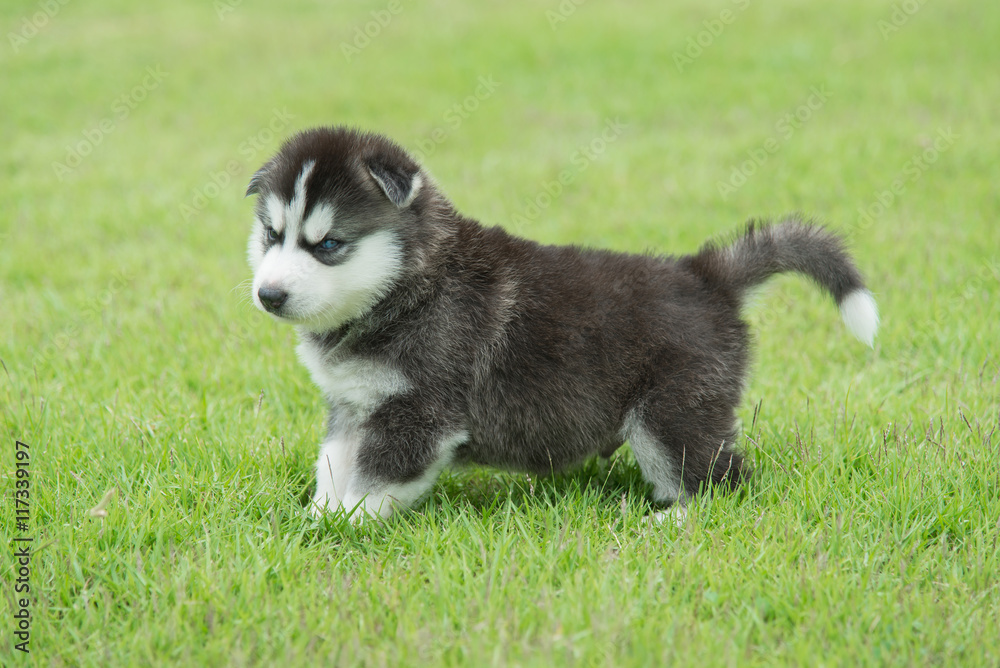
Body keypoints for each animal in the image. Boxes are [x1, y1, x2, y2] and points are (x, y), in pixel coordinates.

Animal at [244, 125, 876, 520]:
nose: (268, 295)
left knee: (719, 480)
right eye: (273, 235)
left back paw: (673, 521)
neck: (408, 285)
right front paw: (318, 514)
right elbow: (333, 464)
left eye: (328, 244)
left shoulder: (420, 413)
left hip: (671, 412)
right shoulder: (353, 405)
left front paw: (348, 522)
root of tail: (704, 277)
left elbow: (377, 479)